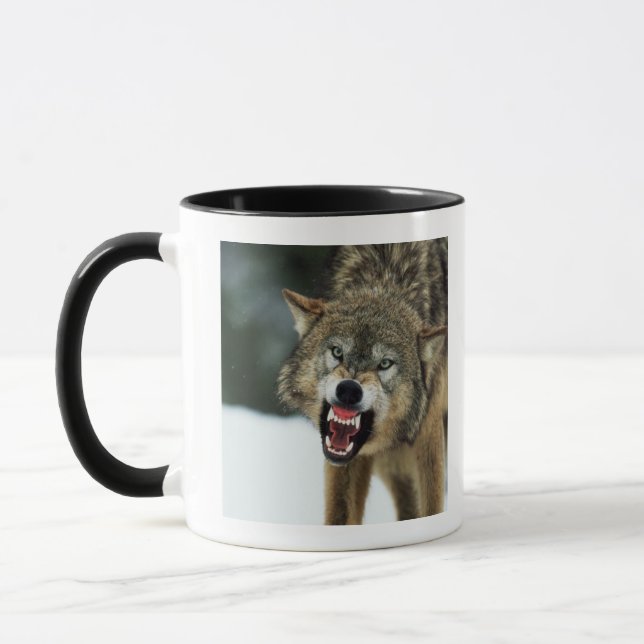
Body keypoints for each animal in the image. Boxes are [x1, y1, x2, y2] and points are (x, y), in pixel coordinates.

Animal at [277, 239, 448, 525]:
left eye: (385, 364)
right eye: (337, 352)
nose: (348, 390)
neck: (386, 276)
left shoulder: (429, 435)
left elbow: (433, 505)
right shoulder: (346, 459)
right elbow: (340, 515)